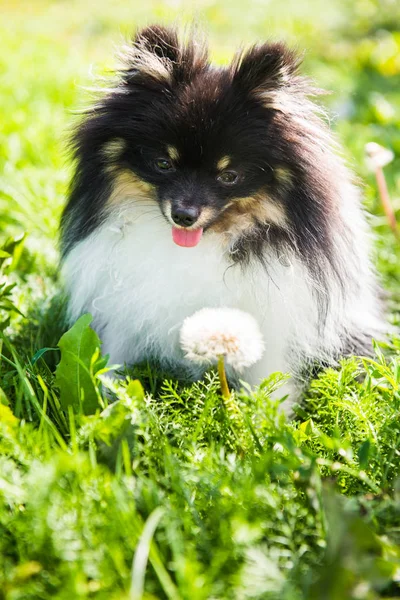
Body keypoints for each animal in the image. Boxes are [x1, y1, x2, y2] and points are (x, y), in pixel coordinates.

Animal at [61, 25, 384, 406]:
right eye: (163, 163)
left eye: (229, 176)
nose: (184, 215)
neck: (201, 244)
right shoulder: (123, 311)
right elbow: (112, 361)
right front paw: (109, 398)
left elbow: (268, 379)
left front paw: (266, 414)